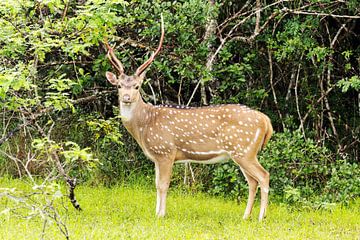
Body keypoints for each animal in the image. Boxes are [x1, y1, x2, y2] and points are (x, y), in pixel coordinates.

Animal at [104, 16, 272, 221]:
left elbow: (163, 185)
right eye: (119, 85)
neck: (144, 126)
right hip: (243, 153)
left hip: (244, 150)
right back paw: (245, 216)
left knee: (264, 176)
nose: (127, 98)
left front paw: (161, 215)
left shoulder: (165, 151)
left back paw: (261, 217)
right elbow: (156, 184)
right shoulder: (157, 157)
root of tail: (266, 121)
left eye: (137, 86)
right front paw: (156, 212)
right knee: (252, 181)